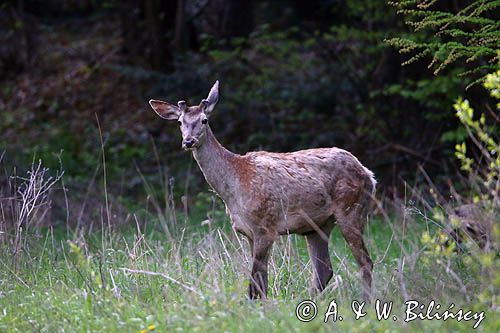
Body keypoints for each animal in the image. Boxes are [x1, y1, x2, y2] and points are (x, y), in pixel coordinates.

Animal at [148, 80, 376, 298]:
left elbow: (255, 283)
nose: (188, 141)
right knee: (324, 270)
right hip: (317, 225)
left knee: (365, 262)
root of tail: (369, 175)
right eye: (180, 122)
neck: (234, 187)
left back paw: (365, 300)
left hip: (352, 209)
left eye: (204, 120)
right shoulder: (248, 231)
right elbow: (261, 281)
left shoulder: (266, 226)